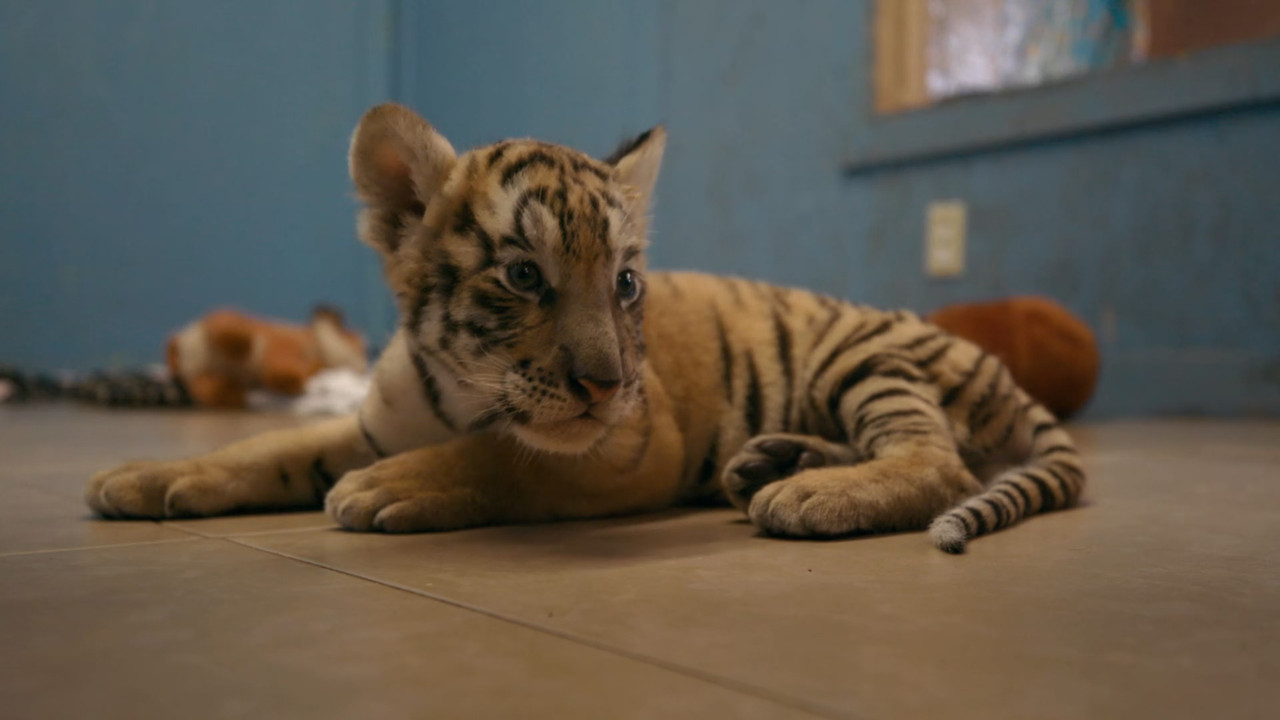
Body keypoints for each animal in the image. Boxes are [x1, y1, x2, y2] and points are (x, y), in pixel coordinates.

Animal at [85, 103, 1085, 553]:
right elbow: (263, 449)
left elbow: (509, 457)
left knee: (938, 459)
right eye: (524, 275)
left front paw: (388, 488)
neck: (457, 387)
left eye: (627, 283)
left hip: (864, 355)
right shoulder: (368, 420)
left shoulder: (630, 442)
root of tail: (998, 370)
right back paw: (771, 462)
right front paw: (143, 475)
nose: (606, 383)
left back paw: (807, 494)